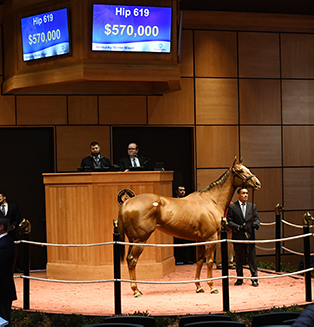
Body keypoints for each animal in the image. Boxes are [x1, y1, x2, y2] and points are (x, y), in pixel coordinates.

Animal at [117, 158, 260, 298]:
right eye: (240, 171)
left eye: (247, 168)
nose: (257, 183)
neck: (211, 200)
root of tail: (127, 202)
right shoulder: (211, 239)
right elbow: (209, 261)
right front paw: (212, 287)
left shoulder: (201, 240)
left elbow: (200, 261)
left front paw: (199, 287)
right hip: (140, 240)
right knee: (132, 260)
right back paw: (136, 290)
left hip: (132, 240)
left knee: (129, 260)